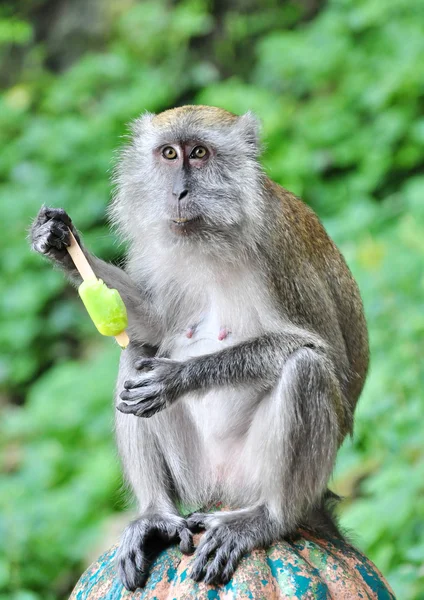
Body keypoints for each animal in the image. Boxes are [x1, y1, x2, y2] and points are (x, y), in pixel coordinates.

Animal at [29, 104, 370, 592]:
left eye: (200, 153)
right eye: (170, 154)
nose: (179, 191)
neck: (212, 236)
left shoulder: (278, 250)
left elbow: (323, 353)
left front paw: (177, 378)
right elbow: (150, 324)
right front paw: (57, 240)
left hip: (252, 476)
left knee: (306, 368)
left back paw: (268, 518)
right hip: (198, 474)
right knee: (136, 352)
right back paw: (156, 515)